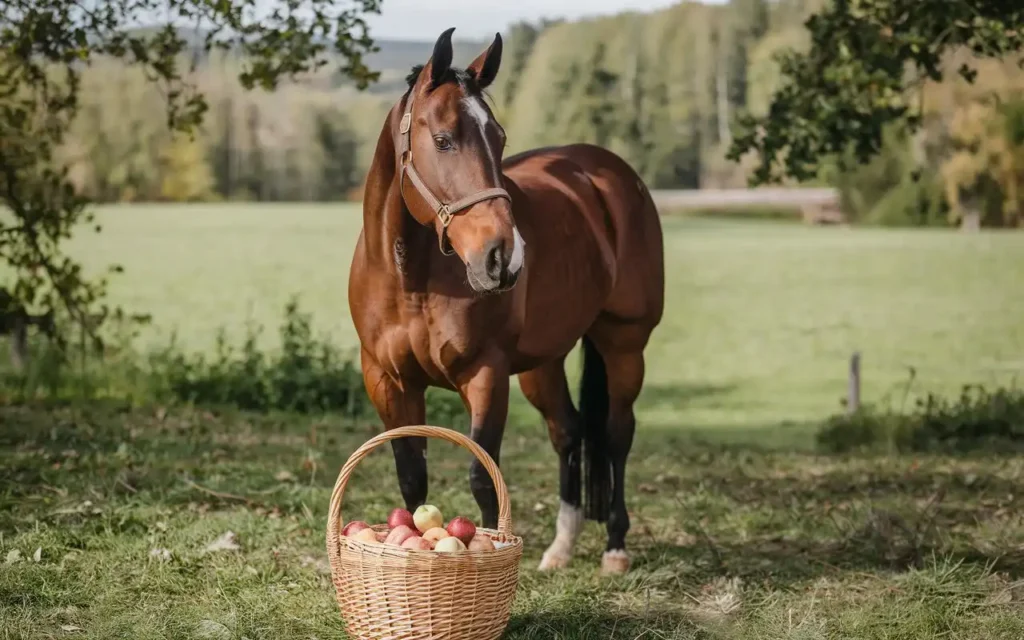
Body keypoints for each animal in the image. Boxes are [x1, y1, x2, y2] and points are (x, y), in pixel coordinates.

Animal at [348, 27, 663, 573]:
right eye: (443, 139)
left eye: (499, 139)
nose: (504, 257)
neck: (412, 280)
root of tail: (610, 175)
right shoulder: (388, 381)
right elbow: (411, 478)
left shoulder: (486, 375)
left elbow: (483, 477)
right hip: (543, 361)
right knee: (568, 431)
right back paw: (561, 547)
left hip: (624, 343)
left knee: (616, 433)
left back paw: (615, 547)